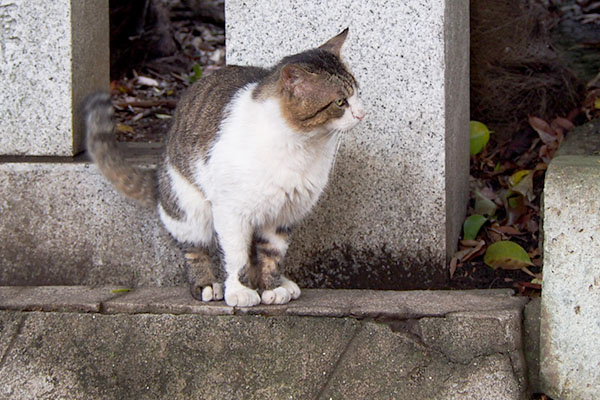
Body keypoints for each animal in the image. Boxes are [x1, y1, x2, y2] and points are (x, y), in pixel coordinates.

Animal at [84, 29, 366, 308]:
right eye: (340, 102)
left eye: (357, 93)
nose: (362, 113)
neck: (302, 146)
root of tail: (157, 178)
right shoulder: (231, 212)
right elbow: (236, 255)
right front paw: (240, 290)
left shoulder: (282, 215)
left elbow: (272, 255)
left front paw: (272, 287)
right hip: (189, 209)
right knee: (195, 249)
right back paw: (207, 284)